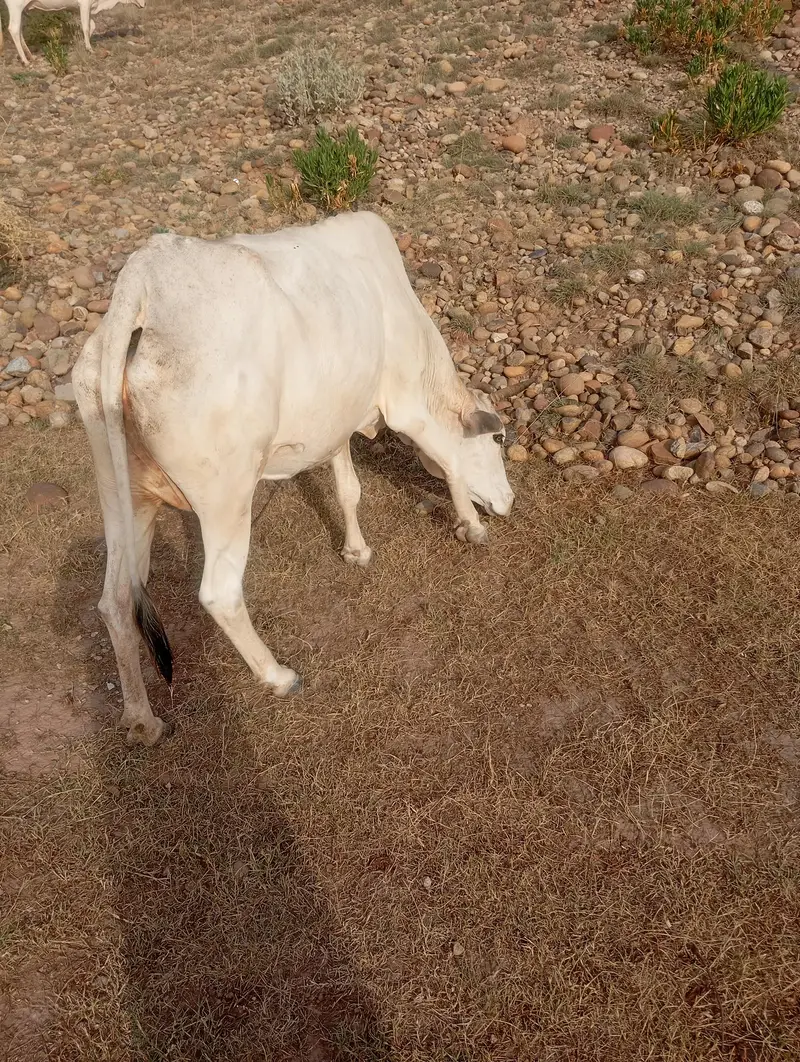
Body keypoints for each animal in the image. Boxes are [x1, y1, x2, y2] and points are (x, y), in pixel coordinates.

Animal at [2, 0, 146, 66]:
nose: (144, 4)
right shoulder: (84, 4)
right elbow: (86, 27)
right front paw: (90, 49)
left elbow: (91, 26)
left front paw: (80, 43)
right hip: (16, 6)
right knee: (14, 28)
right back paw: (25, 60)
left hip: (23, 10)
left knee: (19, 30)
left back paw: (31, 56)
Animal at [73, 211, 515, 746]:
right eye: (498, 438)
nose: (509, 500)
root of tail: (144, 280)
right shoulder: (408, 405)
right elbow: (449, 460)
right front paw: (472, 526)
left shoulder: (338, 419)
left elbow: (348, 488)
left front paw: (356, 550)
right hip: (226, 498)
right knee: (219, 593)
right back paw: (277, 676)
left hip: (124, 494)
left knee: (116, 599)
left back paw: (142, 719)